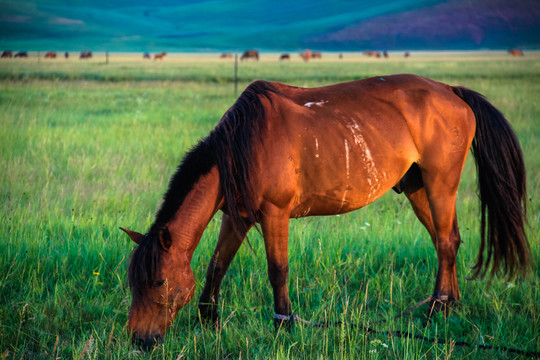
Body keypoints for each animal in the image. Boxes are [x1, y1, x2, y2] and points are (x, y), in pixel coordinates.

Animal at [121, 74, 528, 348]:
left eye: (157, 282)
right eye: (134, 283)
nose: (140, 340)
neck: (241, 147)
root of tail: (451, 91)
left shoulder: (274, 214)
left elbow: (277, 270)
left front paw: (283, 325)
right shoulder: (238, 217)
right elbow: (217, 264)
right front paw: (208, 319)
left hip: (440, 183)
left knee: (444, 242)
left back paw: (437, 312)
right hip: (417, 188)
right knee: (450, 240)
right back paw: (449, 305)